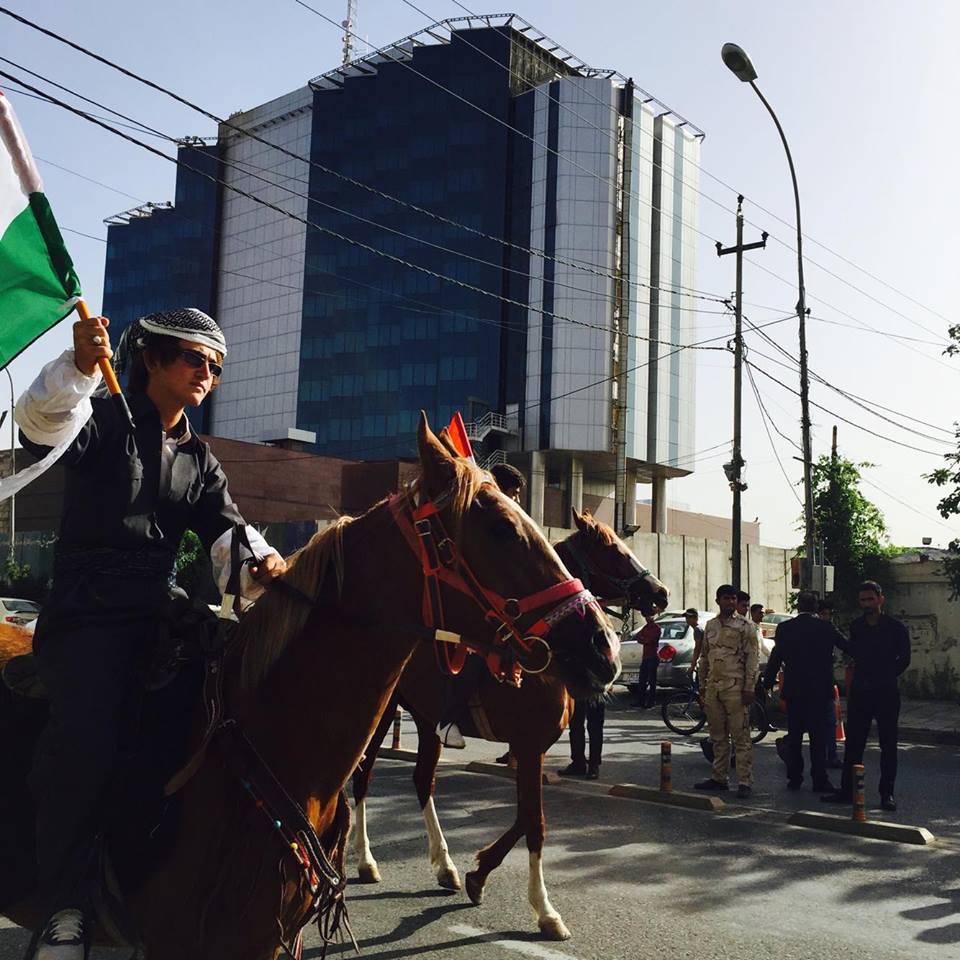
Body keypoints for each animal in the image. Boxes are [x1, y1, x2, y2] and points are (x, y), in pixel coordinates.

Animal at [350, 510, 668, 936]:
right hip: (383, 712)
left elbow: (525, 817)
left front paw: (478, 873)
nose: (660, 593)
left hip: (427, 718)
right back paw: (365, 859)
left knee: (421, 780)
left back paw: (445, 866)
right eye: (614, 551)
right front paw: (544, 910)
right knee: (363, 774)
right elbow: (535, 823)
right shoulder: (530, 745)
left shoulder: (530, 748)